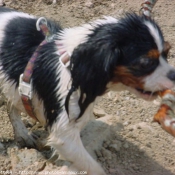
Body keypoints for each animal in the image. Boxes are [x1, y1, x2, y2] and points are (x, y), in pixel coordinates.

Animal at [0, 6, 175, 174]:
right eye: (146, 63)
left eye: (167, 52)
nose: (174, 75)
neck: (71, 64)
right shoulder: (64, 136)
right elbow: (94, 168)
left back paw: (22, 134)